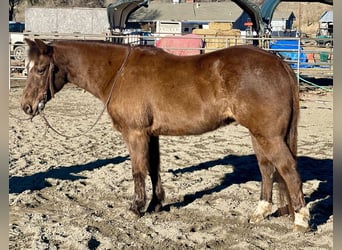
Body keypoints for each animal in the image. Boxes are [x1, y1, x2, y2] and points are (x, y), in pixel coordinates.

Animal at [21, 38, 310, 231]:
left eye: (40, 69)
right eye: (26, 68)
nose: (27, 107)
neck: (118, 72)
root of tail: (277, 62)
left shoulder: (135, 134)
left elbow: (138, 170)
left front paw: (136, 208)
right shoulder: (152, 134)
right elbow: (153, 168)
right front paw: (155, 205)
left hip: (269, 137)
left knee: (288, 169)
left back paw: (301, 220)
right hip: (259, 135)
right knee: (267, 169)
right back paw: (260, 213)